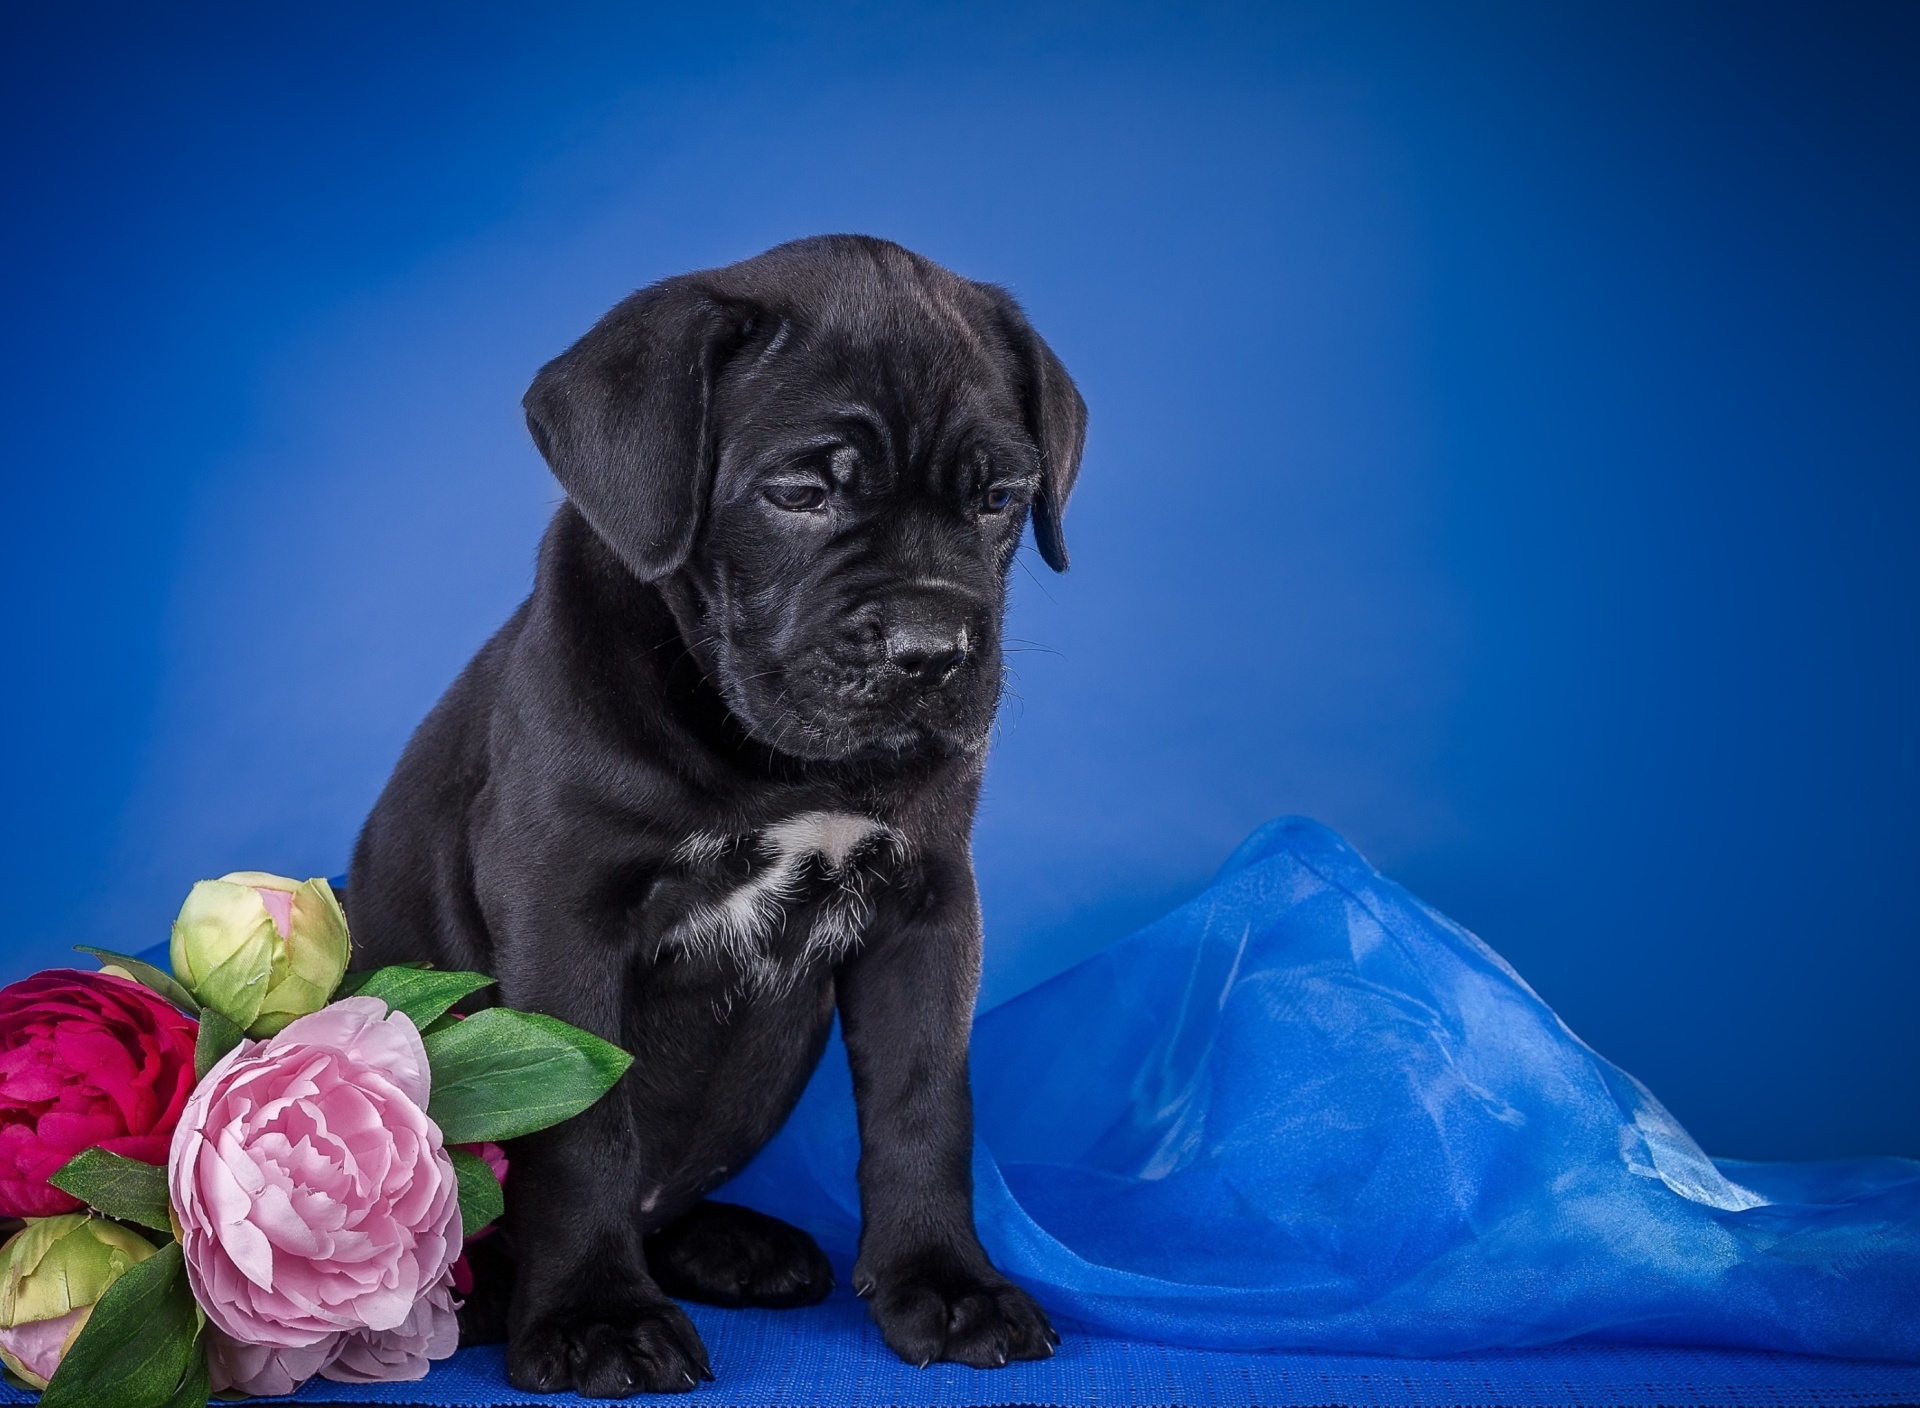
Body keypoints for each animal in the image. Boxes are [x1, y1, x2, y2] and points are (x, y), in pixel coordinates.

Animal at [347, 233, 1090, 1398]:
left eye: (1000, 497)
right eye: (799, 491)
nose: (931, 651)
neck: (774, 760)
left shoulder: (928, 905)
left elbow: (926, 1103)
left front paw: (946, 1281)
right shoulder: (565, 915)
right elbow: (583, 1126)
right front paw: (597, 1315)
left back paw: (734, 1243)